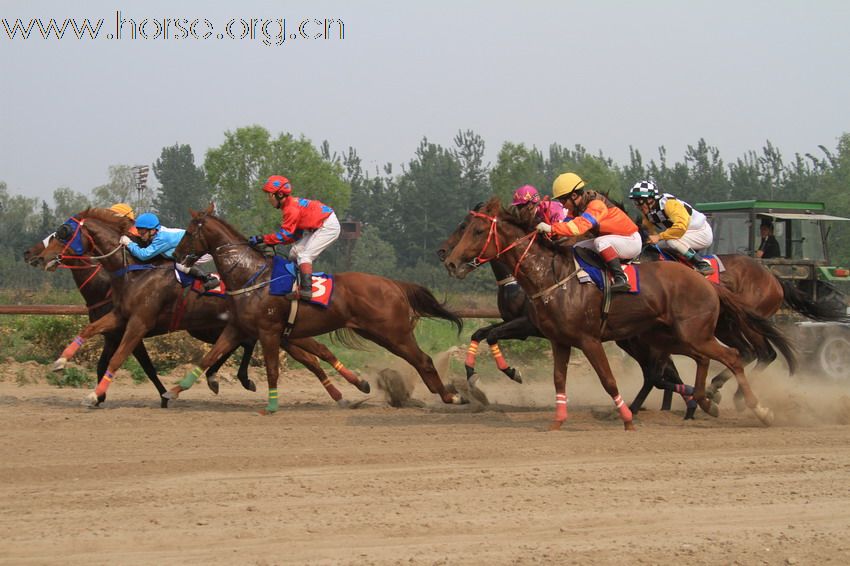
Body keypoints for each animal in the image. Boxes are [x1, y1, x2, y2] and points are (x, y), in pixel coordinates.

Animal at [37, 209, 368, 408]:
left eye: (62, 232)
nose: (41, 258)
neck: (133, 270)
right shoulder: (120, 317)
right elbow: (89, 328)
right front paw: (60, 362)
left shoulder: (139, 323)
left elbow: (118, 358)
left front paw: (95, 394)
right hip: (274, 332)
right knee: (310, 358)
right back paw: (343, 393)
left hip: (270, 331)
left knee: (315, 353)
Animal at [168, 206, 468, 414]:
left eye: (189, 232)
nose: (176, 256)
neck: (252, 277)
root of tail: (394, 284)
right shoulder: (238, 328)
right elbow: (208, 358)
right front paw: (174, 391)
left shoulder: (269, 331)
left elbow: (273, 369)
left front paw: (271, 407)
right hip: (378, 333)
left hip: (394, 333)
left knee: (423, 361)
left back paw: (451, 396)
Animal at [440, 199, 792, 430]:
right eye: (463, 226)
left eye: (475, 229)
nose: (449, 260)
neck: (552, 276)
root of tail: (705, 281)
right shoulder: (558, 339)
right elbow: (554, 376)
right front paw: (557, 420)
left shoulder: (584, 338)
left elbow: (608, 379)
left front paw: (626, 419)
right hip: (670, 336)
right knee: (692, 364)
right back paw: (702, 401)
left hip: (694, 333)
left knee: (736, 356)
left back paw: (754, 408)